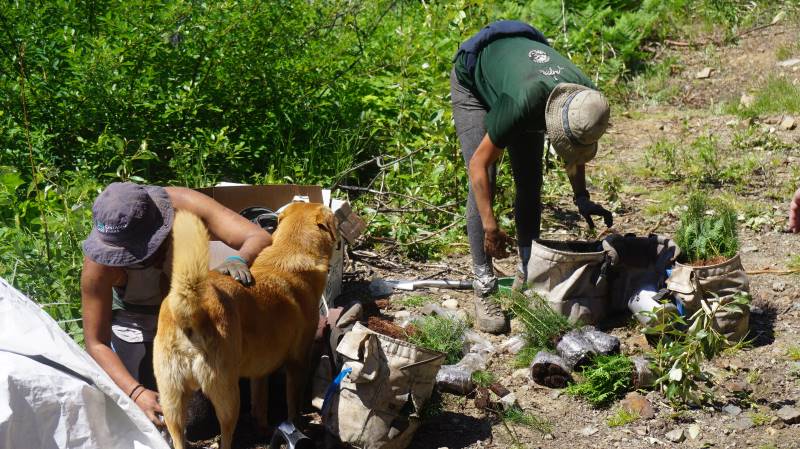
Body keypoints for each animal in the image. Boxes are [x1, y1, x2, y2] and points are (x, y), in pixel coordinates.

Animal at [154, 203, 338, 448]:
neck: (289, 253)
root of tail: (191, 309)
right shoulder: (297, 363)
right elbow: (293, 406)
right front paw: (296, 426)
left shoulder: (260, 371)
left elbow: (259, 403)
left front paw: (263, 429)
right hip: (227, 397)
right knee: (226, 437)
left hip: (171, 401)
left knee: (177, 436)